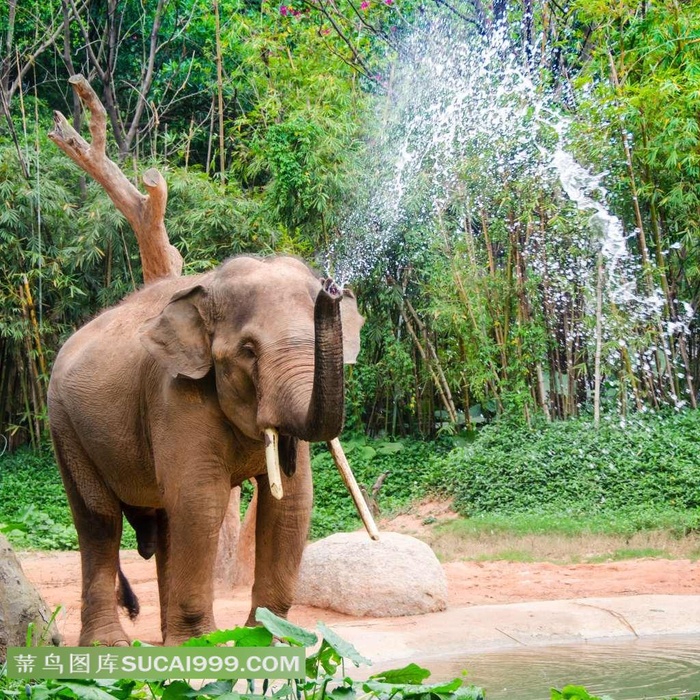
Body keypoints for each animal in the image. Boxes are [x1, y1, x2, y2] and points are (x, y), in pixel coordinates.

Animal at [48, 256, 364, 644]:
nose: (331, 288)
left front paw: (269, 638)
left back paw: (165, 639)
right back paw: (111, 643)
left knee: (166, 523)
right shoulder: (173, 395)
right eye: (248, 351)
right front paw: (202, 643)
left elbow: (290, 502)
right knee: (99, 521)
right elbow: (201, 500)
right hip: (65, 426)